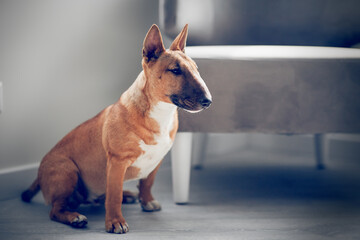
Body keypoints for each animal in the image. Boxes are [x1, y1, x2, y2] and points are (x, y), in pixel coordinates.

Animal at [21, 23, 211, 233]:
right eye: (175, 70)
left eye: (196, 69)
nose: (208, 101)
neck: (161, 112)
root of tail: (39, 173)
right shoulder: (117, 162)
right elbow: (114, 196)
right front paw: (115, 222)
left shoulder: (158, 159)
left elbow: (147, 183)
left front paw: (147, 201)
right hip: (67, 170)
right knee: (56, 209)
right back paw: (75, 218)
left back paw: (128, 195)